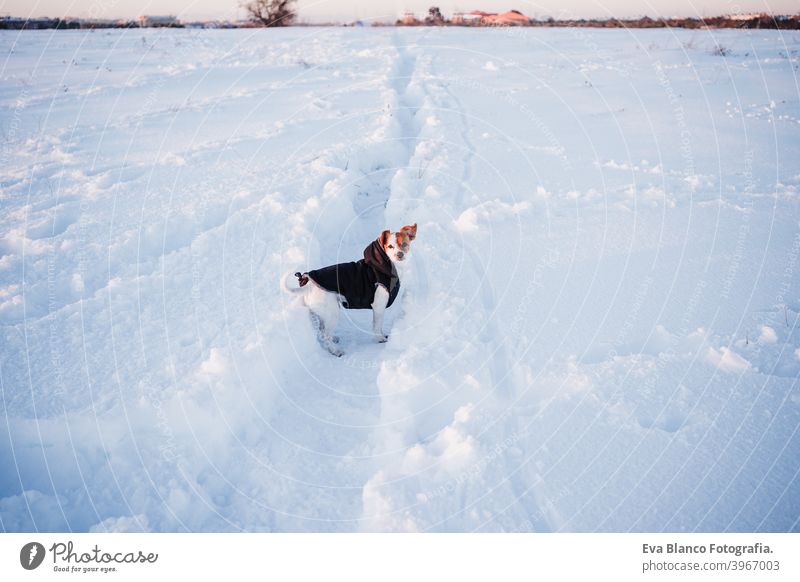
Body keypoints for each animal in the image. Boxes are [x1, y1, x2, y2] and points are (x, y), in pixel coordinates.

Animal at [282, 226, 418, 358]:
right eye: (390, 246)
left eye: (404, 244)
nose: (399, 254)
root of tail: (308, 285)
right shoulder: (378, 306)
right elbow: (377, 326)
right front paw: (380, 338)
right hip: (332, 313)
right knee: (325, 334)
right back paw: (335, 351)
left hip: (325, 313)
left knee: (322, 330)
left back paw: (333, 339)